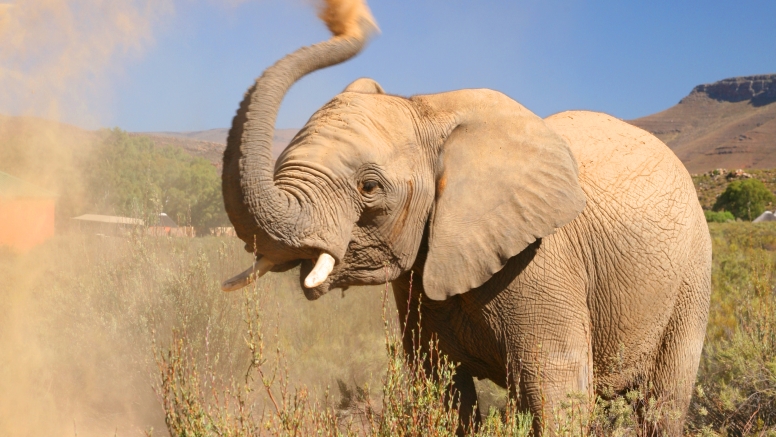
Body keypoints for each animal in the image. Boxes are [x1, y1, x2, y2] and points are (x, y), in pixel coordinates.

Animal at [218, 2, 708, 432]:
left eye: (369, 188)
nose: (350, 20)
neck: (431, 108)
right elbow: (442, 390)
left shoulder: (542, 263)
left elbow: (556, 395)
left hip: (691, 275)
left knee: (663, 400)